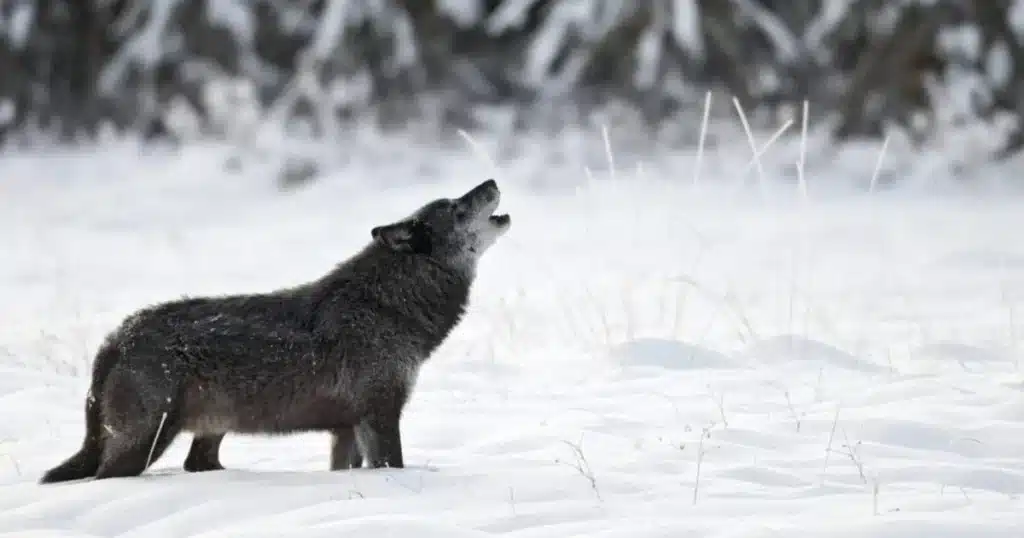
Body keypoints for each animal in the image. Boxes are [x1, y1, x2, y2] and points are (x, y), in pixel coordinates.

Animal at [39, 179, 511, 483]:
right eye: (457, 208)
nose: (490, 180)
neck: (388, 307)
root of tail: (117, 338)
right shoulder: (380, 415)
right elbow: (393, 468)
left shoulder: (346, 428)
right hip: (146, 442)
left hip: (207, 433)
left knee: (197, 465)